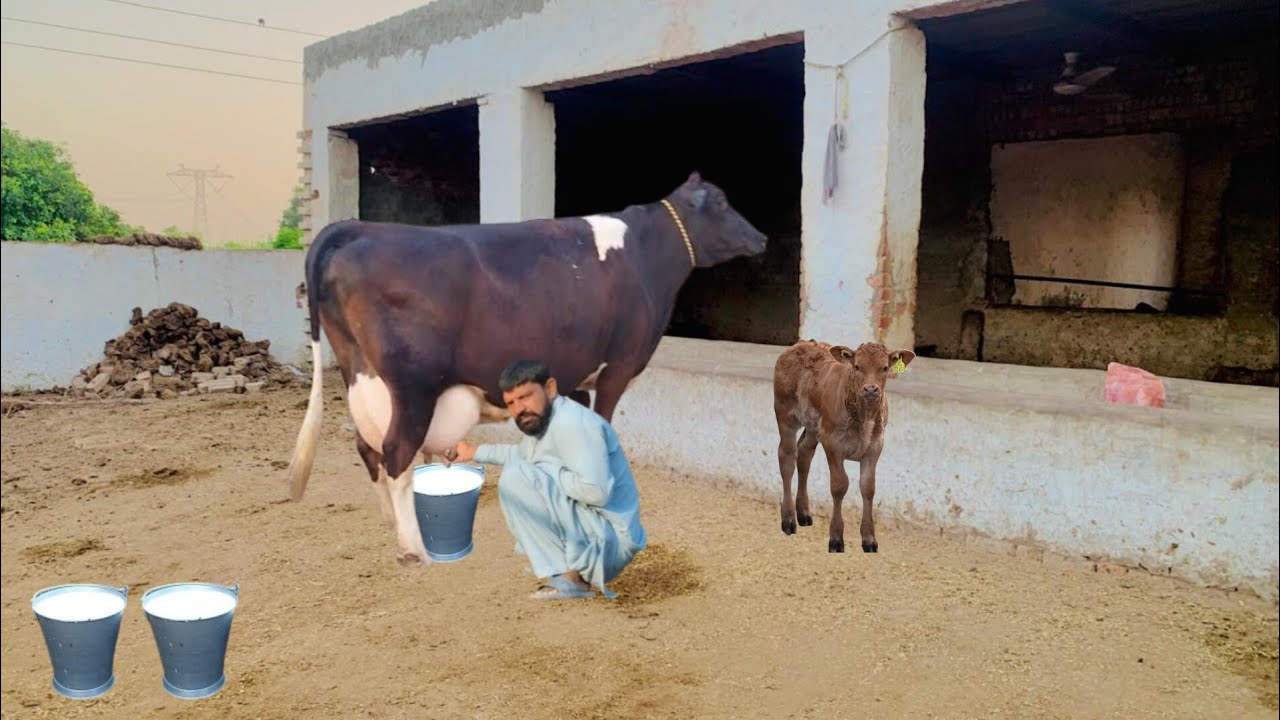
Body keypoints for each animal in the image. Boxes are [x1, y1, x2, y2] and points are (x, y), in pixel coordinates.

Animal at [286, 171, 767, 567]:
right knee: (396, 453)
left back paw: (391, 524)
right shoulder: (616, 369)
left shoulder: (574, 377)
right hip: (412, 386)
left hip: (362, 377)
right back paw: (413, 550)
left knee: (368, 449)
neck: (646, 255)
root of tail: (359, 227)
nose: (762, 237)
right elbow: (604, 428)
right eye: (722, 202)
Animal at [772, 339, 916, 553]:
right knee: (787, 459)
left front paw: (869, 539)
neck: (864, 416)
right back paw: (788, 519)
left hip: (814, 427)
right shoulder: (832, 443)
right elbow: (840, 485)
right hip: (785, 414)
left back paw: (804, 513)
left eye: (884, 368)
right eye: (857, 366)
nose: (871, 389)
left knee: (804, 455)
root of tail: (801, 344)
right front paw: (836, 538)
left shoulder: (875, 446)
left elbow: (868, 487)